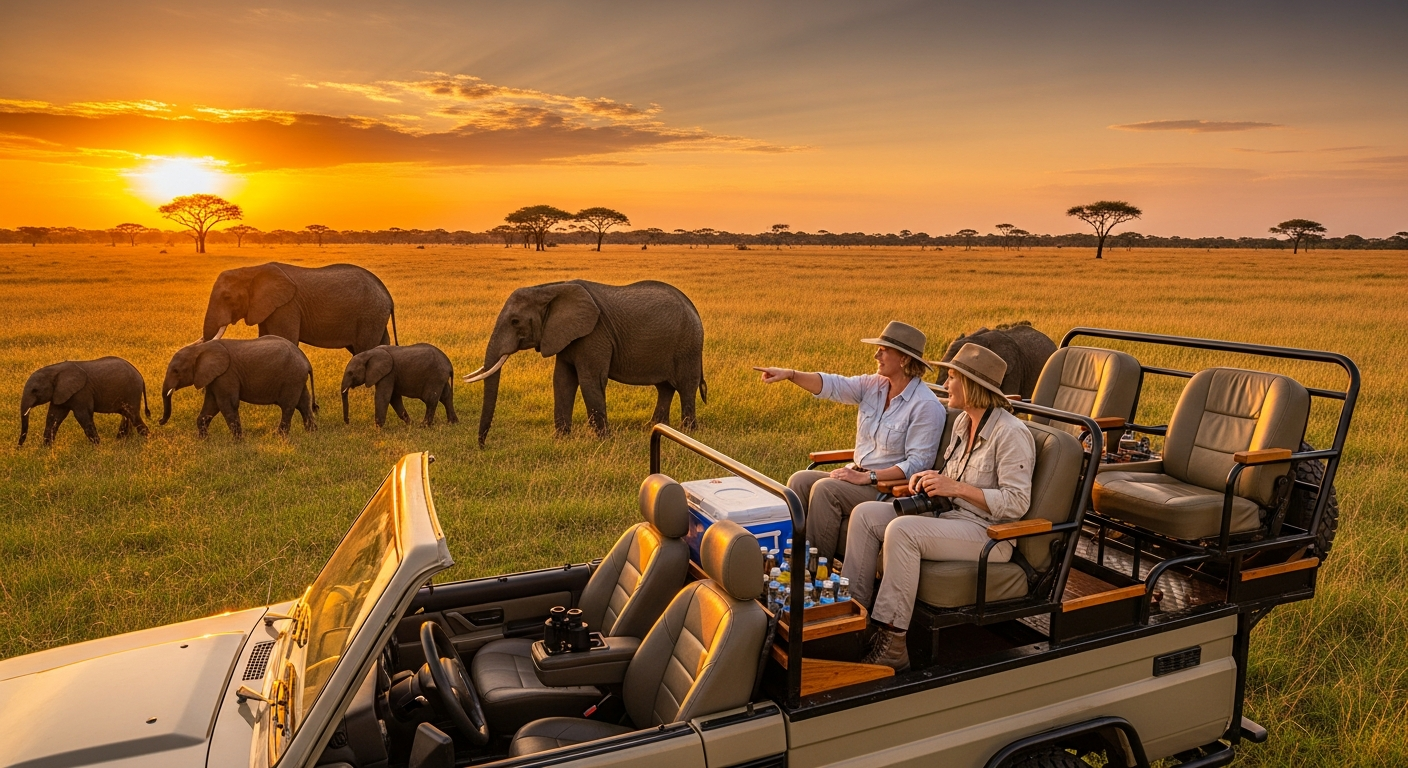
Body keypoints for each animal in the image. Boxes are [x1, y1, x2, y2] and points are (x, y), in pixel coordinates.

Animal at [18, 357, 149, 446]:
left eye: (35, 390)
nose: (19, 447)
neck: (54, 370)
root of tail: (140, 376)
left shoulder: (81, 392)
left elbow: (82, 416)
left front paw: (97, 446)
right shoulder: (60, 393)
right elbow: (53, 417)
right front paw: (46, 448)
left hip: (132, 391)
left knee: (133, 416)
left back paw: (147, 440)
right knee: (127, 416)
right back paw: (121, 440)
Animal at [159, 336, 318, 438]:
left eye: (176, 371)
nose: (160, 421)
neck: (200, 348)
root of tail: (306, 361)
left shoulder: (226, 374)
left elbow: (227, 404)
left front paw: (238, 442)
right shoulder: (214, 377)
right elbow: (211, 405)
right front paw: (204, 440)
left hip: (291, 378)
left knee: (288, 406)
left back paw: (278, 437)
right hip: (297, 379)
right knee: (304, 403)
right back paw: (312, 434)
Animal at [200, 262, 398, 354]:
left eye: (227, 297)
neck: (251, 270)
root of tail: (387, 294)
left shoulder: (286, 307)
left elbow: (286, 339)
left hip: (369, 316)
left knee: (365, 347)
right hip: (375, 316)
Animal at [463, 280, 706, 445]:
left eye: (515, 321)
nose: (482, 445)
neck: (551, 289)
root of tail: (693, 307)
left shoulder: (593, 334)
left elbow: (590, 380)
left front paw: (604, 440)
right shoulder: (563, 335)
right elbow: (562, 381)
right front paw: (561, 439)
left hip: (688, 345)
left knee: (686, 386)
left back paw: (688, 432)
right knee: (664, 388)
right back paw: (654, 426)